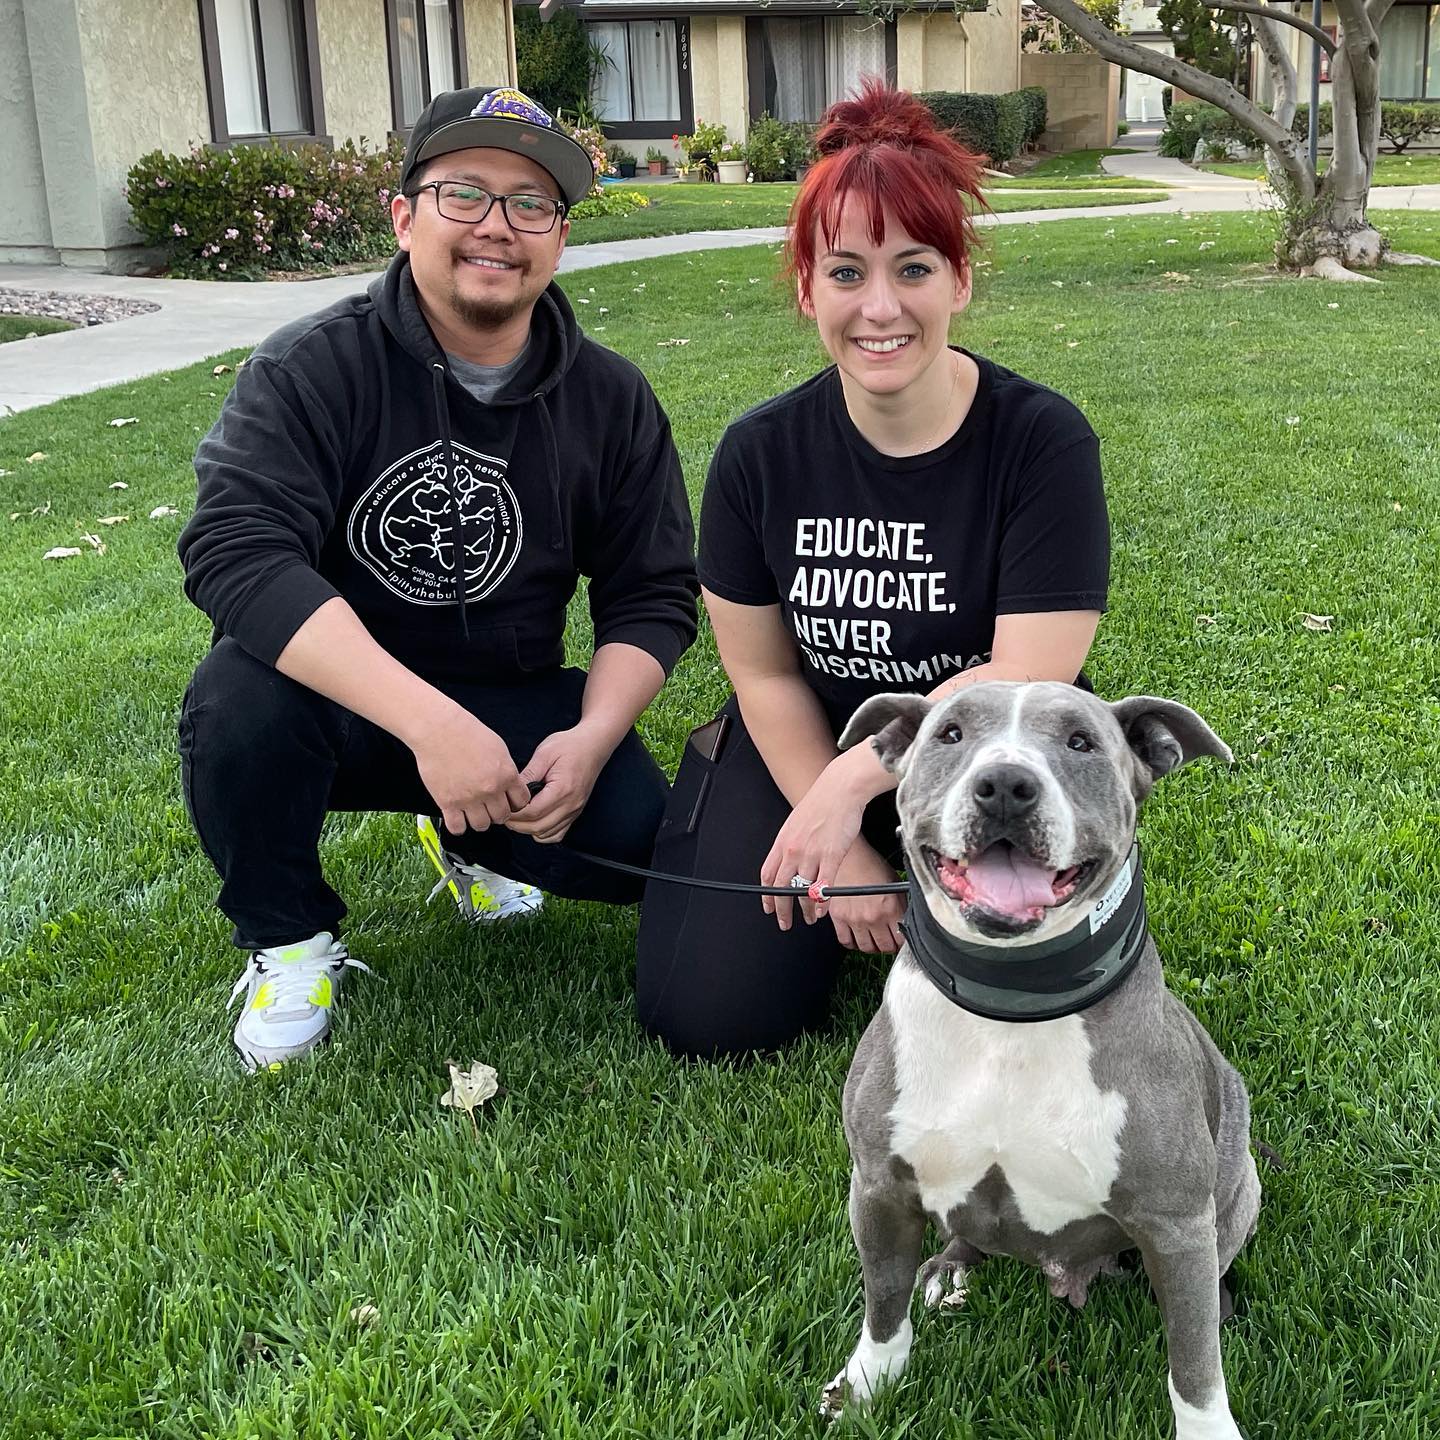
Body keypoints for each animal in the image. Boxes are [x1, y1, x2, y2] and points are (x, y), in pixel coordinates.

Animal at [823, 679, 1261, 1434]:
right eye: (950, 734)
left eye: (1080, 743)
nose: (1005, 784)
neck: (1011, 1008)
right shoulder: (878, 1187)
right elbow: (883, 1301)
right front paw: (866, 1384)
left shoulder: (1176, 1223)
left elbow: (1195, 1360)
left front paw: (1208, 1427)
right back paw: (950, 1266)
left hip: (1235, 1186)